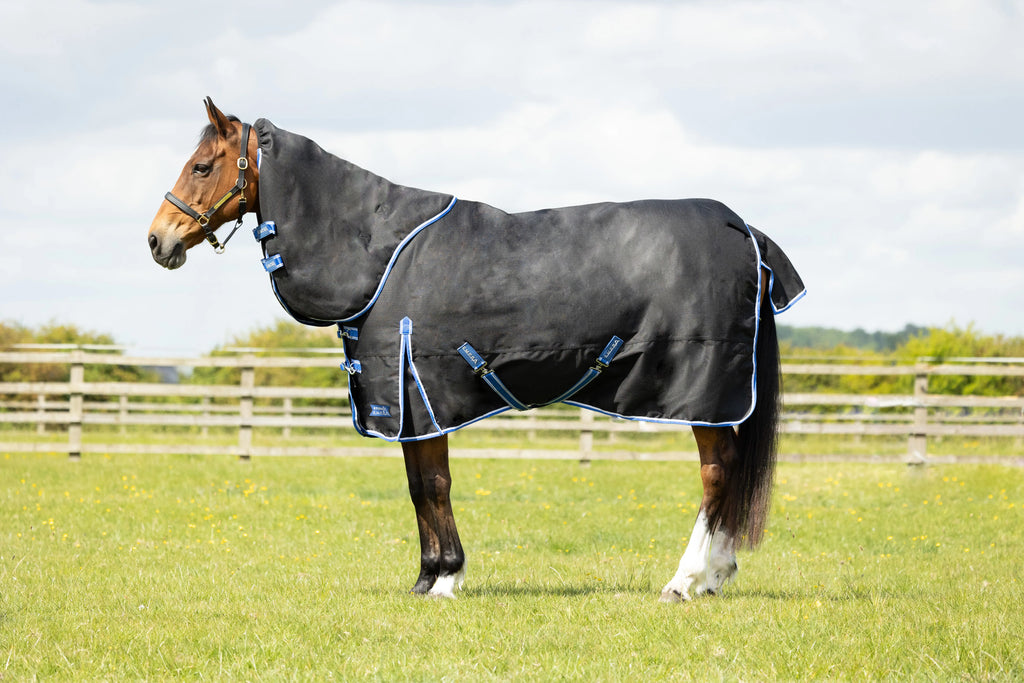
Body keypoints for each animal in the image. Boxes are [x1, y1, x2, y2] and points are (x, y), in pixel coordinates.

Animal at [148, 97, 805, 601]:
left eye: (202, 165)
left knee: (717, 474)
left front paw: (445, 580)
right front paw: (425, 578)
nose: (158, 240)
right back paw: (715, 577)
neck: (379, 250)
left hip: (705, 392)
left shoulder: (422, 392)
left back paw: (685, 580)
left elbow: (435, 483)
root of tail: (743, 230)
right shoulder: (406, 404)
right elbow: (418, 485)